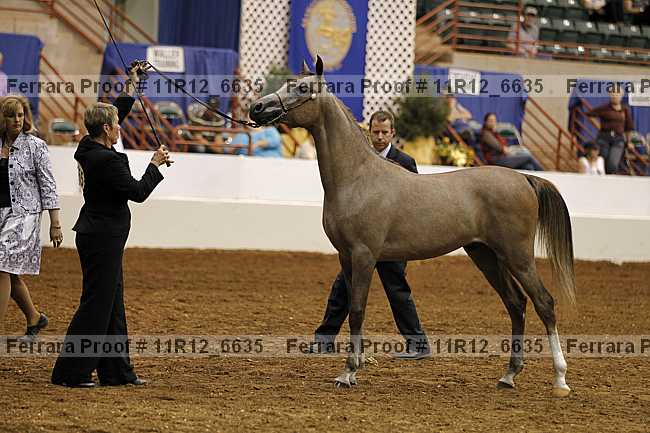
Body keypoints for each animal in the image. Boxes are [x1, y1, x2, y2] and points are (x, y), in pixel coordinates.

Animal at [249, 56, 576, 397]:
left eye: (302, 88)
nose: (256, 108)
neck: (357, 178)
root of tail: (524, 178)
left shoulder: (364, 255)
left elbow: (358, 309)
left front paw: (348, 372)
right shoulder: (346, 256)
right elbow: (351, 307)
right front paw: (356, 366)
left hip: (518, 256)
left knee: (544, 303)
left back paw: (560, 380)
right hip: (486, 255)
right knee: (516, 303)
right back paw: (509, 375)